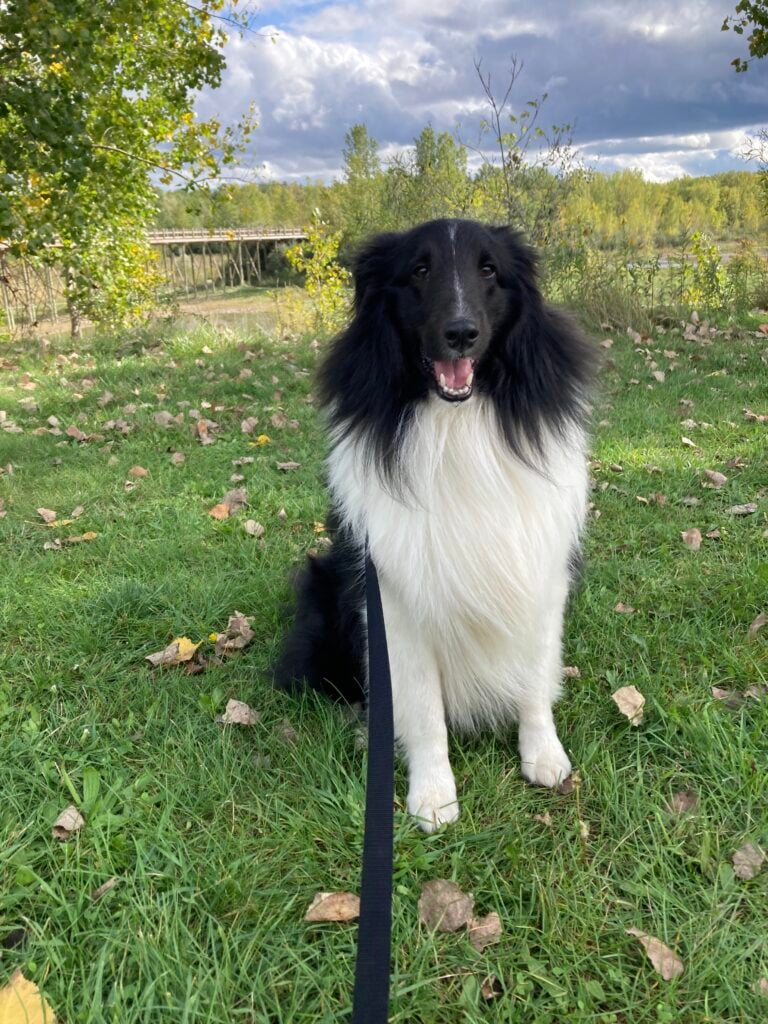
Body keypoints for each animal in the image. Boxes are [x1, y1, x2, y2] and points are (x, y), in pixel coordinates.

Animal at [276, 218, 593, 831]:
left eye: (489, 269)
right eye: (419, 271)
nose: (461, 332)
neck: (457, 425)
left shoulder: (538, 577)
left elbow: (535, 677)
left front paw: (543, 754)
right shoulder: (394, 605)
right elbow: (422, 710)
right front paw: (432, 794)